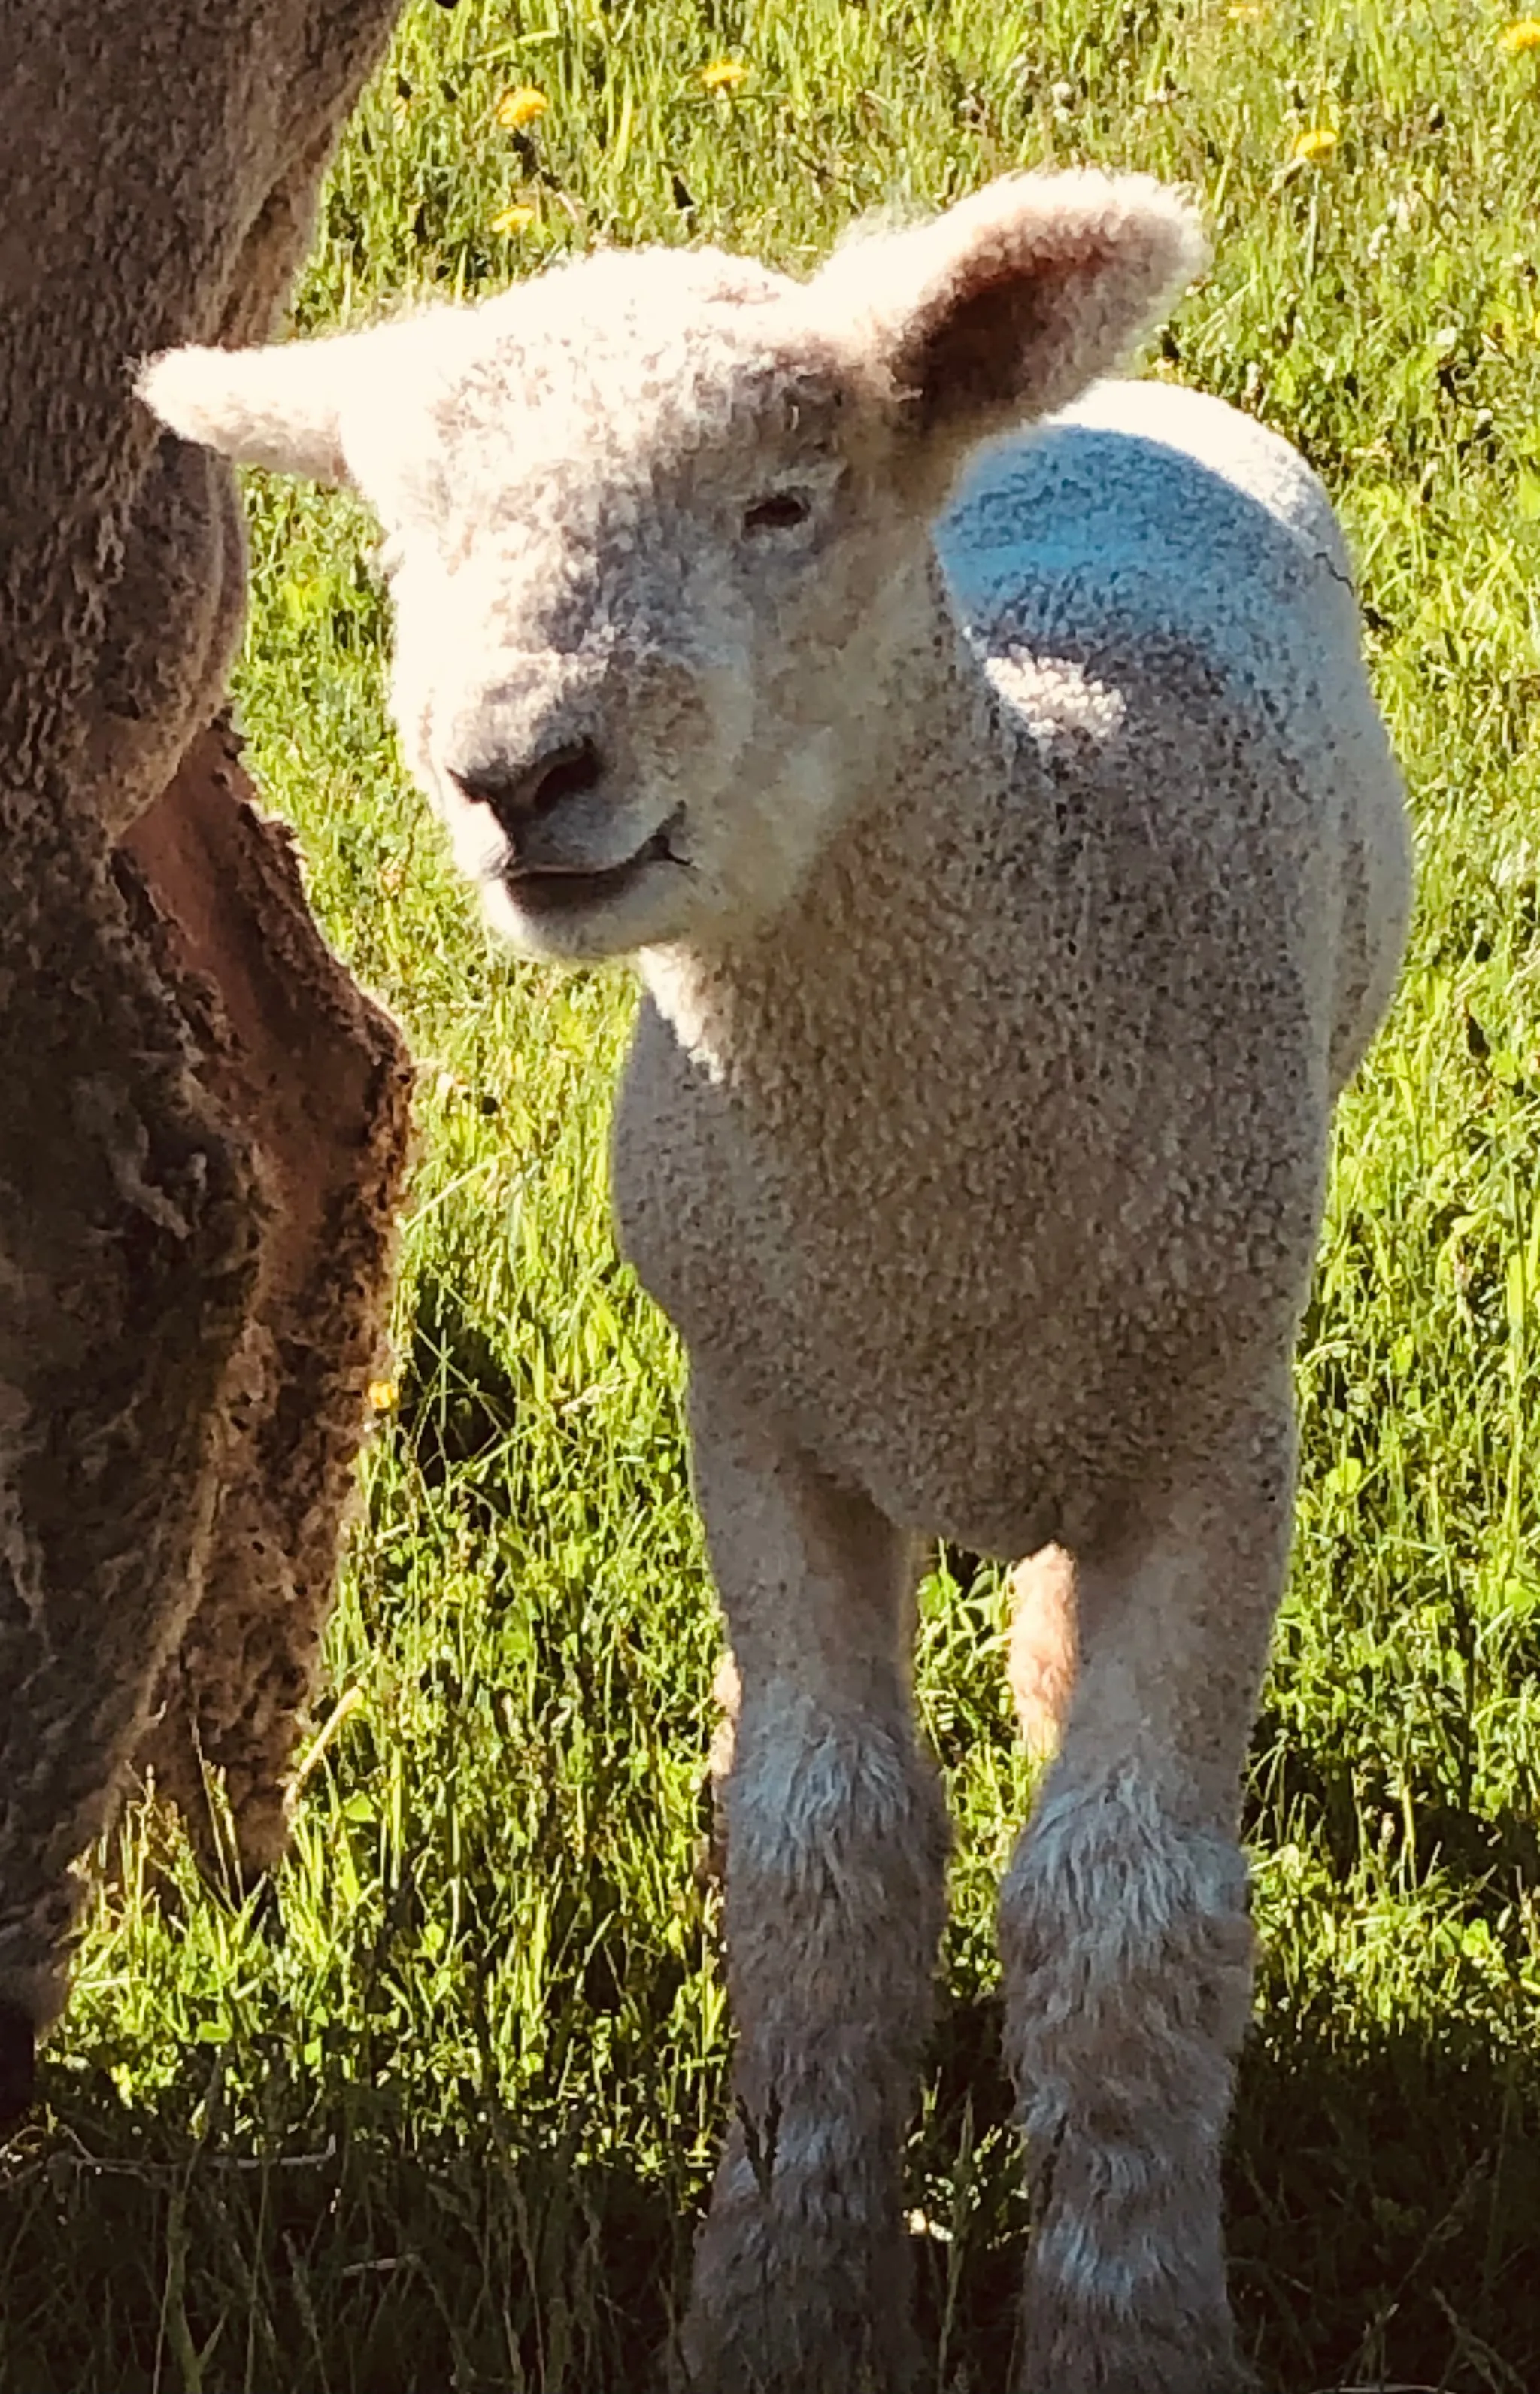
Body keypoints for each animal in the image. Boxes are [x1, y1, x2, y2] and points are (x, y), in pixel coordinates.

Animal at [145, 170, 1414, 2392]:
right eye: (398, 542)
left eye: (783, 502)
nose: (516, 769)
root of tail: (1110, 404)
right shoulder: (764, 1412)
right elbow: (822, 1857)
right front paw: (788, 2288)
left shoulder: (1213, 1431)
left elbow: (1123, 1902)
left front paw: (1128, 2315)